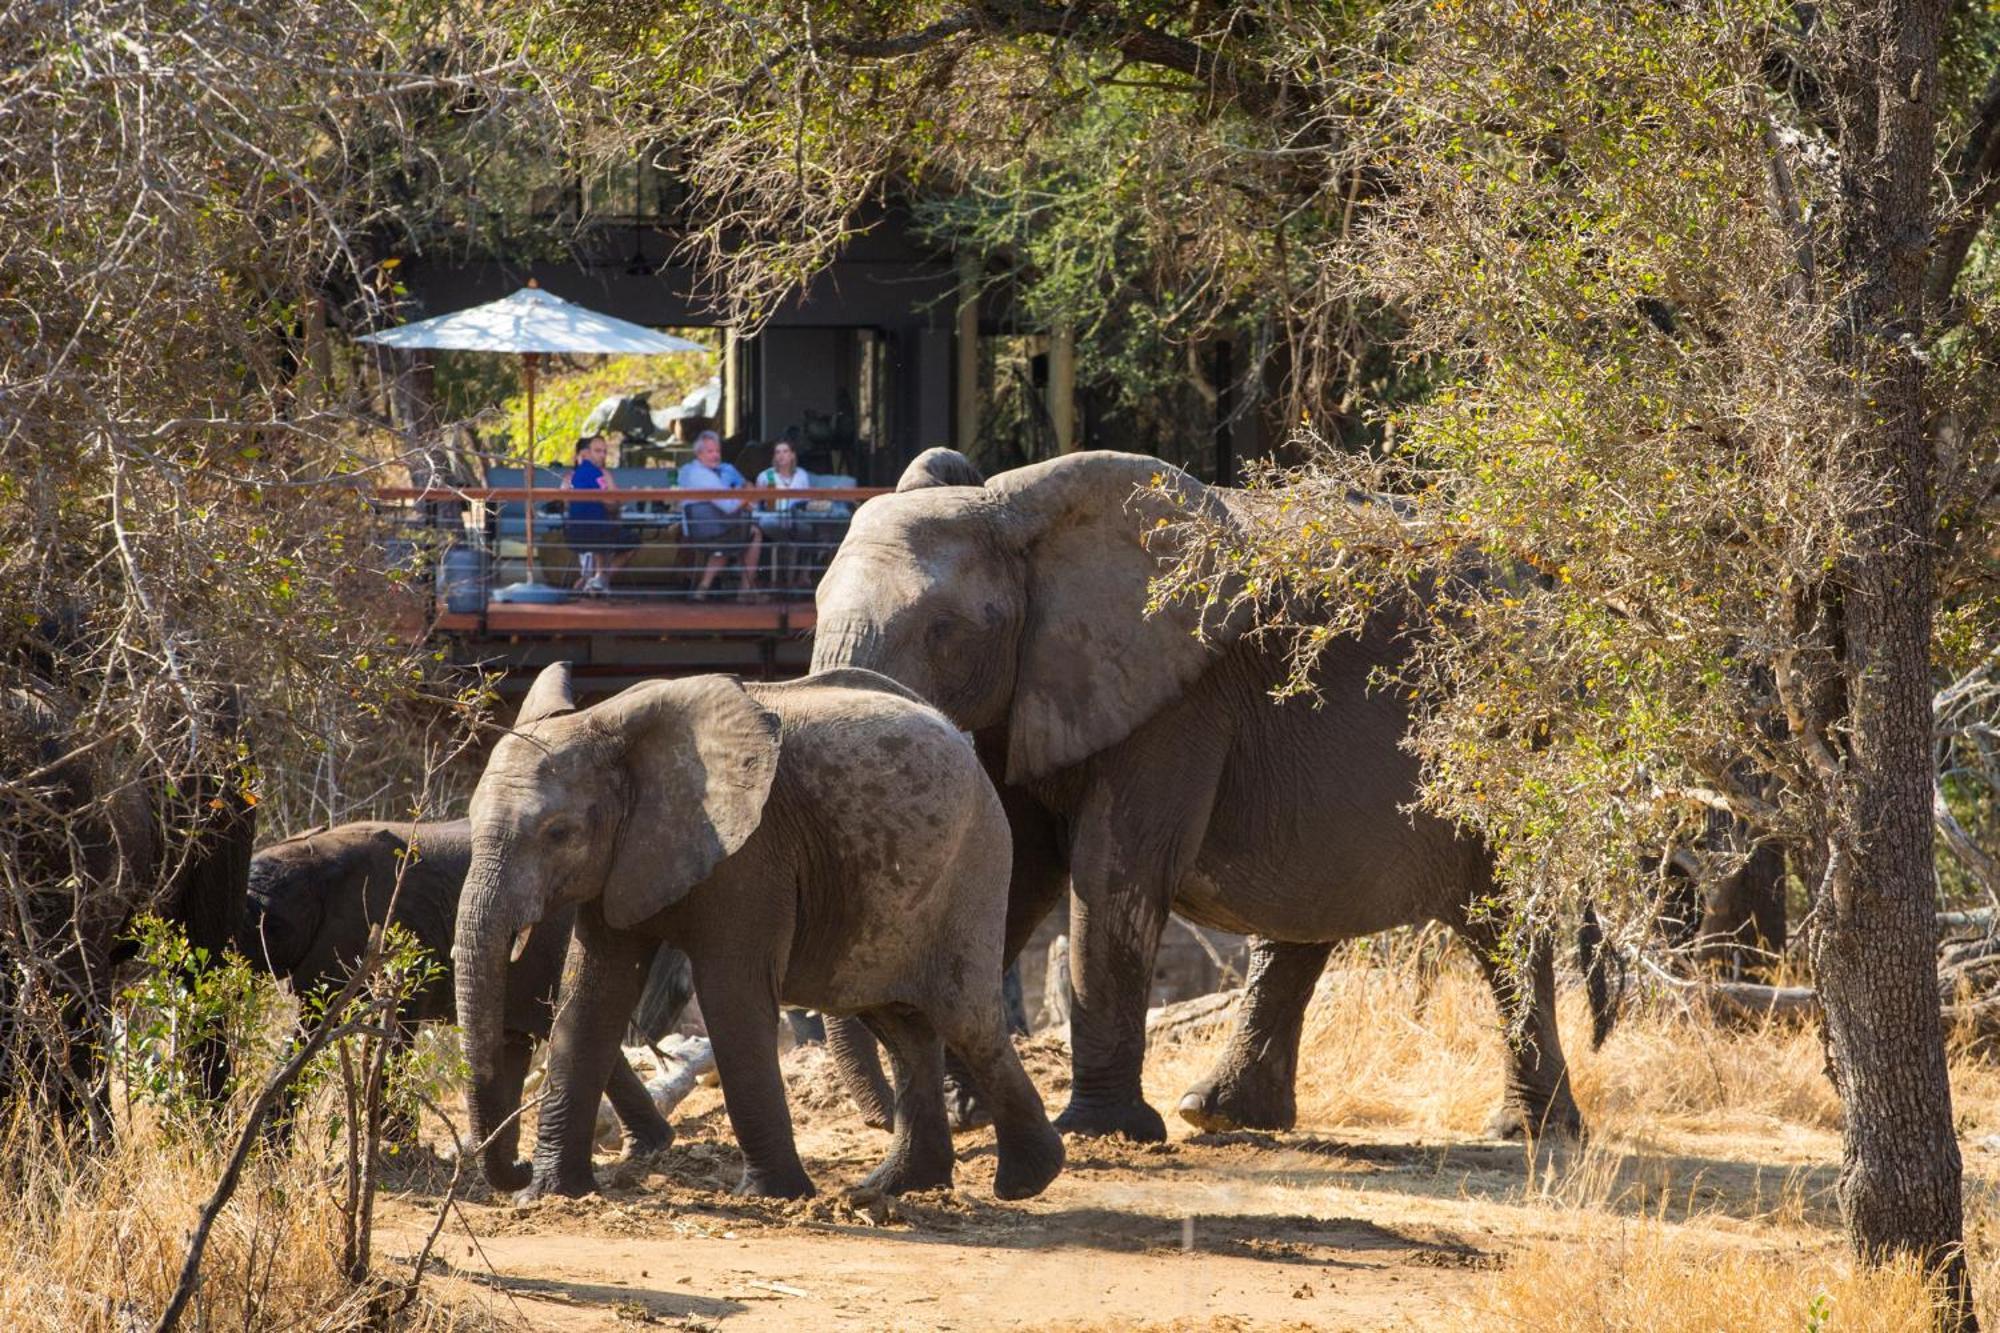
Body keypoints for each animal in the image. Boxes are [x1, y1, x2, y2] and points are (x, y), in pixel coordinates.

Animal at [236, 816, 680, 1176]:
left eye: (271, 926)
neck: (312, 859)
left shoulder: (391, 927)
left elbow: (391, 1030)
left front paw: (398, 1153)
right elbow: (311, 1029)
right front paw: (268, 1158)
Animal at [460, 660, 1072, 1200]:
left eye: (558, 833)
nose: (513, 1167)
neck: (611, 722)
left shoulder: (752, 853)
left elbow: (731, 993)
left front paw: (770, 1196)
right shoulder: (625, 858)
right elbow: (592, 995)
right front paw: (545, 1195)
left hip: (973, 862)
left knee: (965, 1016)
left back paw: (1025, 1181)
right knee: (902, 1026)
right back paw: (894, 1188)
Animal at [804, 452, 1600, 1136]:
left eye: (943, 629)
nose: (886, 1118)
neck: (1014, 515)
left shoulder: (1175, 699)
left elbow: (1114, 877)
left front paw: (1100, 1130)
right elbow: (1018, 872)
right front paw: (968, 1112)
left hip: (1510, 732)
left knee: (1505, 916)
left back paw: (1531, 1131)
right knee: (1304, 920)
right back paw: (1219, 1114)